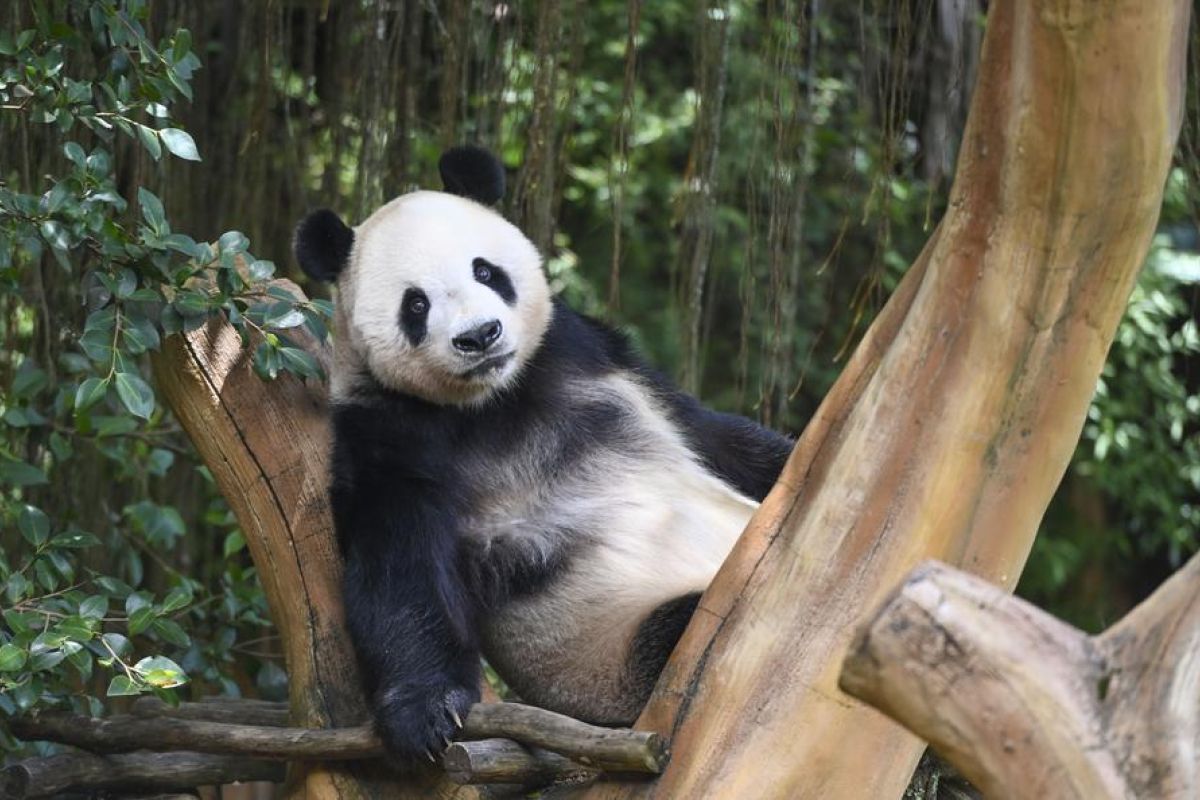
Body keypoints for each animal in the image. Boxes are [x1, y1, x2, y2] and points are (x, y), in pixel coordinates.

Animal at [293, 146, 793, 764]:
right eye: (416, 304)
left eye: (485, 271)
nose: (479, 336)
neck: (495, 400)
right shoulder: (388, 430)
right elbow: (398, 565)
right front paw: (423, 714)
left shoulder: (588, 355)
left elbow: (715, 435)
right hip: (623, 655)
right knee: (685, 628)